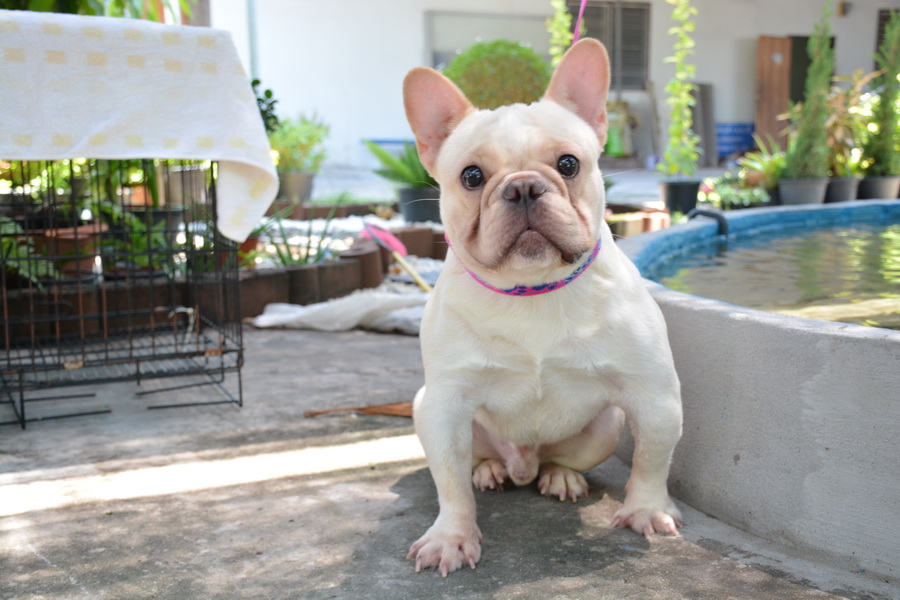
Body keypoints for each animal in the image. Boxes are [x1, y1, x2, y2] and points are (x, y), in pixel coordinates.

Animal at [403, 38, 683, 577]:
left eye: (569, 164)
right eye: (472, 176)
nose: (523, 186)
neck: (532, 289)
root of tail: (524, 463)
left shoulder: (654, 395)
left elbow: (653, 458)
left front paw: (646, 509)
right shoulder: (444, 406)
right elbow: (449, 481)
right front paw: (451, 537)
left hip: (606, 428)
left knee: (564, 460)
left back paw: (558, 477)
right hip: (426, 409)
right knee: (471, 465)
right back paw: (491, 470)